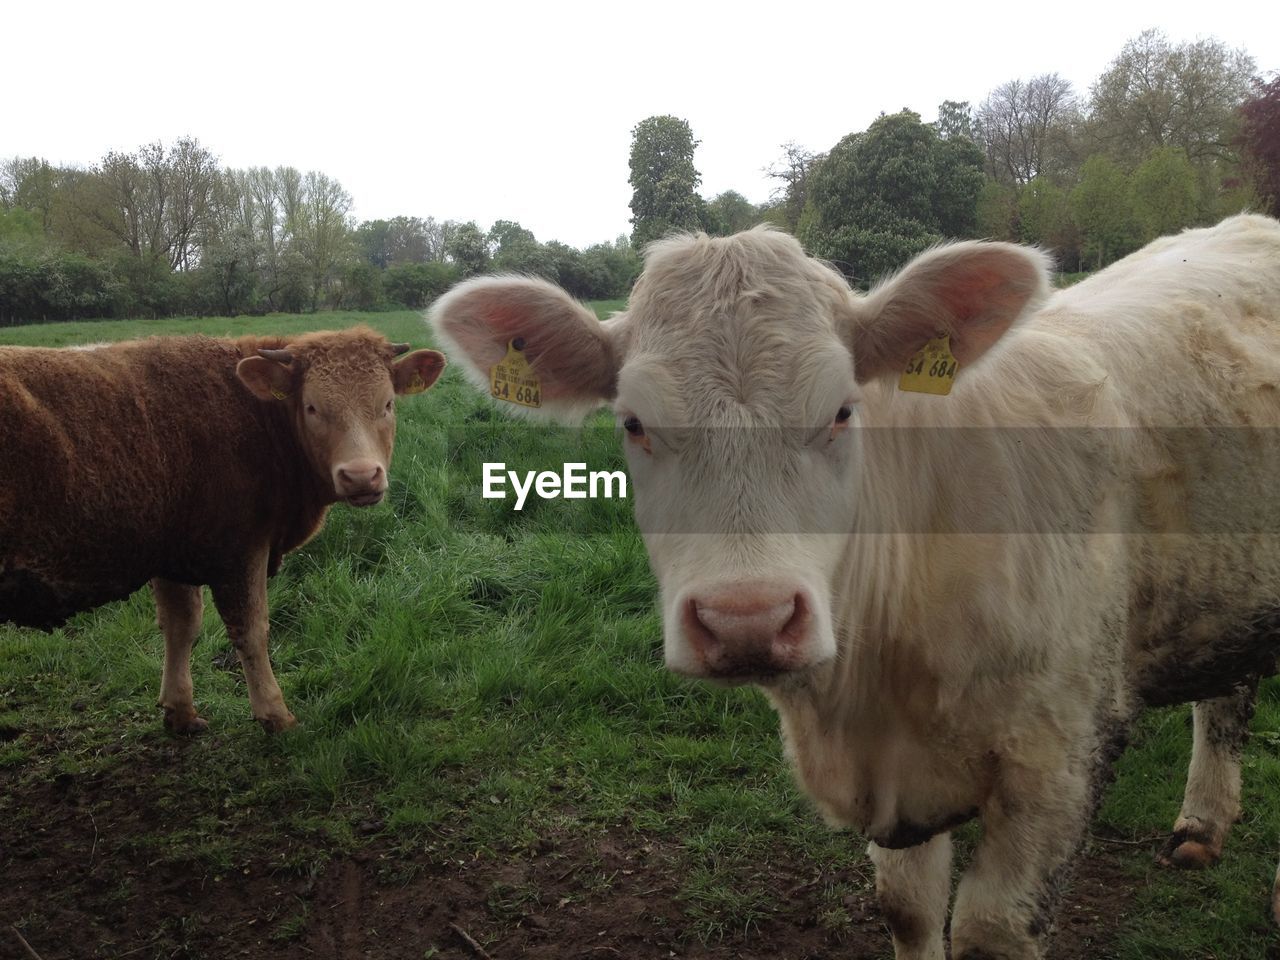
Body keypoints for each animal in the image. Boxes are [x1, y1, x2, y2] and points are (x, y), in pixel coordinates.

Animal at [0, 327, 445, 732]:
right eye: (313, 407)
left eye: (387, 404)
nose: (361, 476)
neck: (257, 417)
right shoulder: (239, 549)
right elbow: (251, 629)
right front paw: (274, 714)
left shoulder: (174, 552)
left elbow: (181, 626)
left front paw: (180, 710)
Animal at [432, 217, 1280, 960]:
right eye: (634, 423)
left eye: (843, 411)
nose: (747, 620)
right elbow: (908, 908)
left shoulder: (1062, 757)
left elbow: (992, 929)